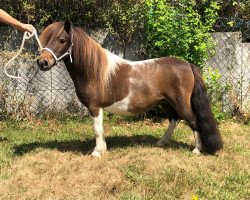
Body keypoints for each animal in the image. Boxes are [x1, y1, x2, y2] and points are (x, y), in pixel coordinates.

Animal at [36, 20, 223, 158]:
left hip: (180, 102)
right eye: (45, 40)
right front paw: (103, 149)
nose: (42, 62)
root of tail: (187, 65)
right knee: (174, 119)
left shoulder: (94, 107)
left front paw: (97, 152)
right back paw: (162, 142)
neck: (95, 71)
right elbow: (101, 129)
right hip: (165, 102)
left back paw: (196, 150)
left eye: (62, 40)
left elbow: (97, 129)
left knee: (193, 121)